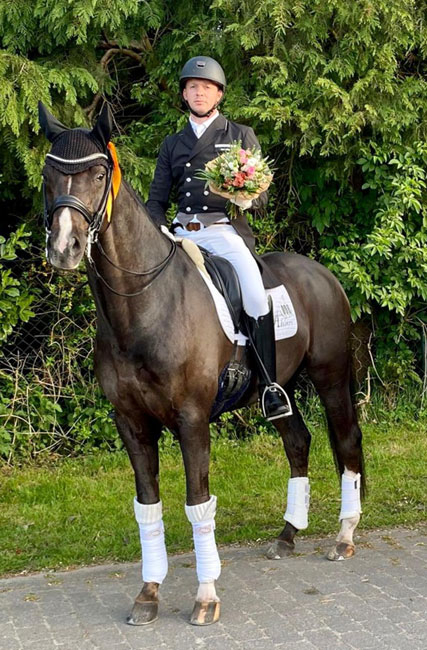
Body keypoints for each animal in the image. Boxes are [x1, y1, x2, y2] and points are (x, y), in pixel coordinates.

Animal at [40, 102, 366, 628]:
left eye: (97, 173)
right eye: (49, 174)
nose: (64, 248)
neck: (144, 305)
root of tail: (321, 273)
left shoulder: (192, 420)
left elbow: (198, 503)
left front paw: (206, 596)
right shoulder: (132, 423)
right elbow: (147, 507)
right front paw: (148, 594)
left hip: (331, 376)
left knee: (347, 440)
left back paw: (344, 536)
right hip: (280, 389)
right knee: (298, 442)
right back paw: (287, 535)